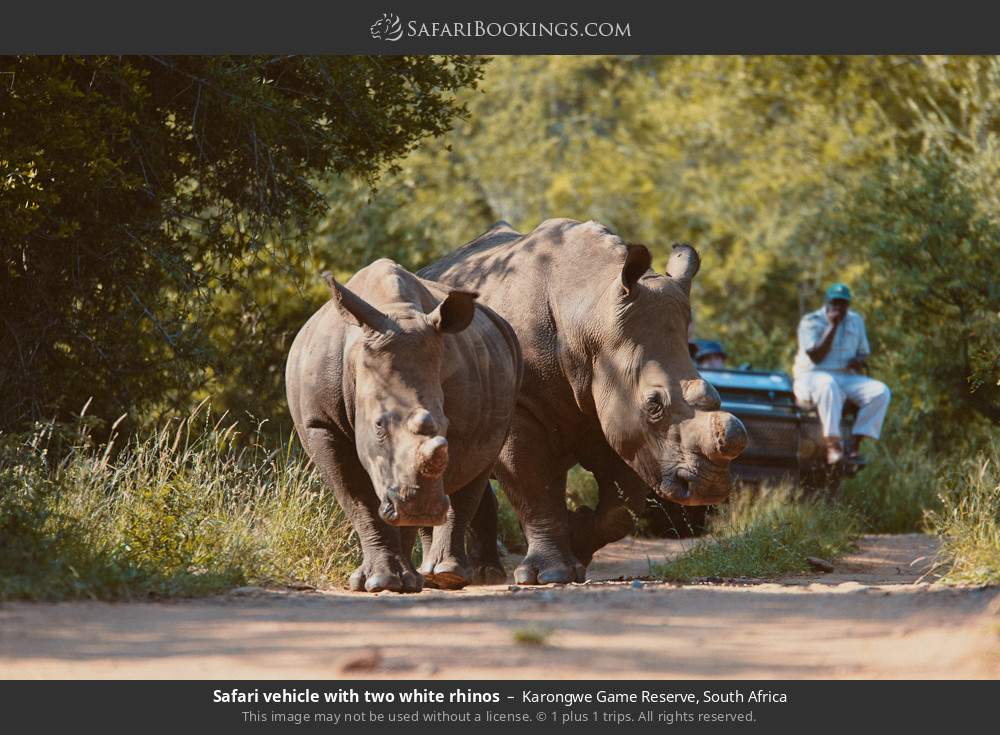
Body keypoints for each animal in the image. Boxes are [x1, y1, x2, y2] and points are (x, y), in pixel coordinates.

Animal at [285, 258, 522, 592]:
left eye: (445, 423)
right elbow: (358, 500)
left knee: (479, 463)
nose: (419, 507)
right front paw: (379, 581)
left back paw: (449, 575)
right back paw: (434, 574)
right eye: (378, 425)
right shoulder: (321, 423)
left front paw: (396, 580)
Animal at [420, 219, 748, 585]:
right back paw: (448, 575)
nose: (709, 487)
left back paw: (483, 574)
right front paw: (552, 574)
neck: (590, 313)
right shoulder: (523, 406)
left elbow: (620, 507)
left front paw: (576, 536)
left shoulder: (618, 411)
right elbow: (533, 486)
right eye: (654, 405)